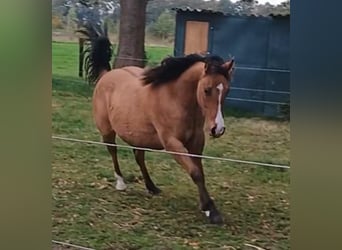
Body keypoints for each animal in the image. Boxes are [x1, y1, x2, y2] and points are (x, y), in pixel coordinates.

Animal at [84, 35, 235, 225]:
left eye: (227, 90)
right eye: (207, 90)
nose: (218, 128)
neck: (176, 99)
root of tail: (106, 74)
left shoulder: (196, 141)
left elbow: (199, 171)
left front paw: (206, 207)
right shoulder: (172, 143)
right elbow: (195, 173)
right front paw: (211, 210)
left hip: (138, 135)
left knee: (139, 157)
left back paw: (152, 187)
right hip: (107, 131)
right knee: (113, 151)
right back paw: (121, 183)